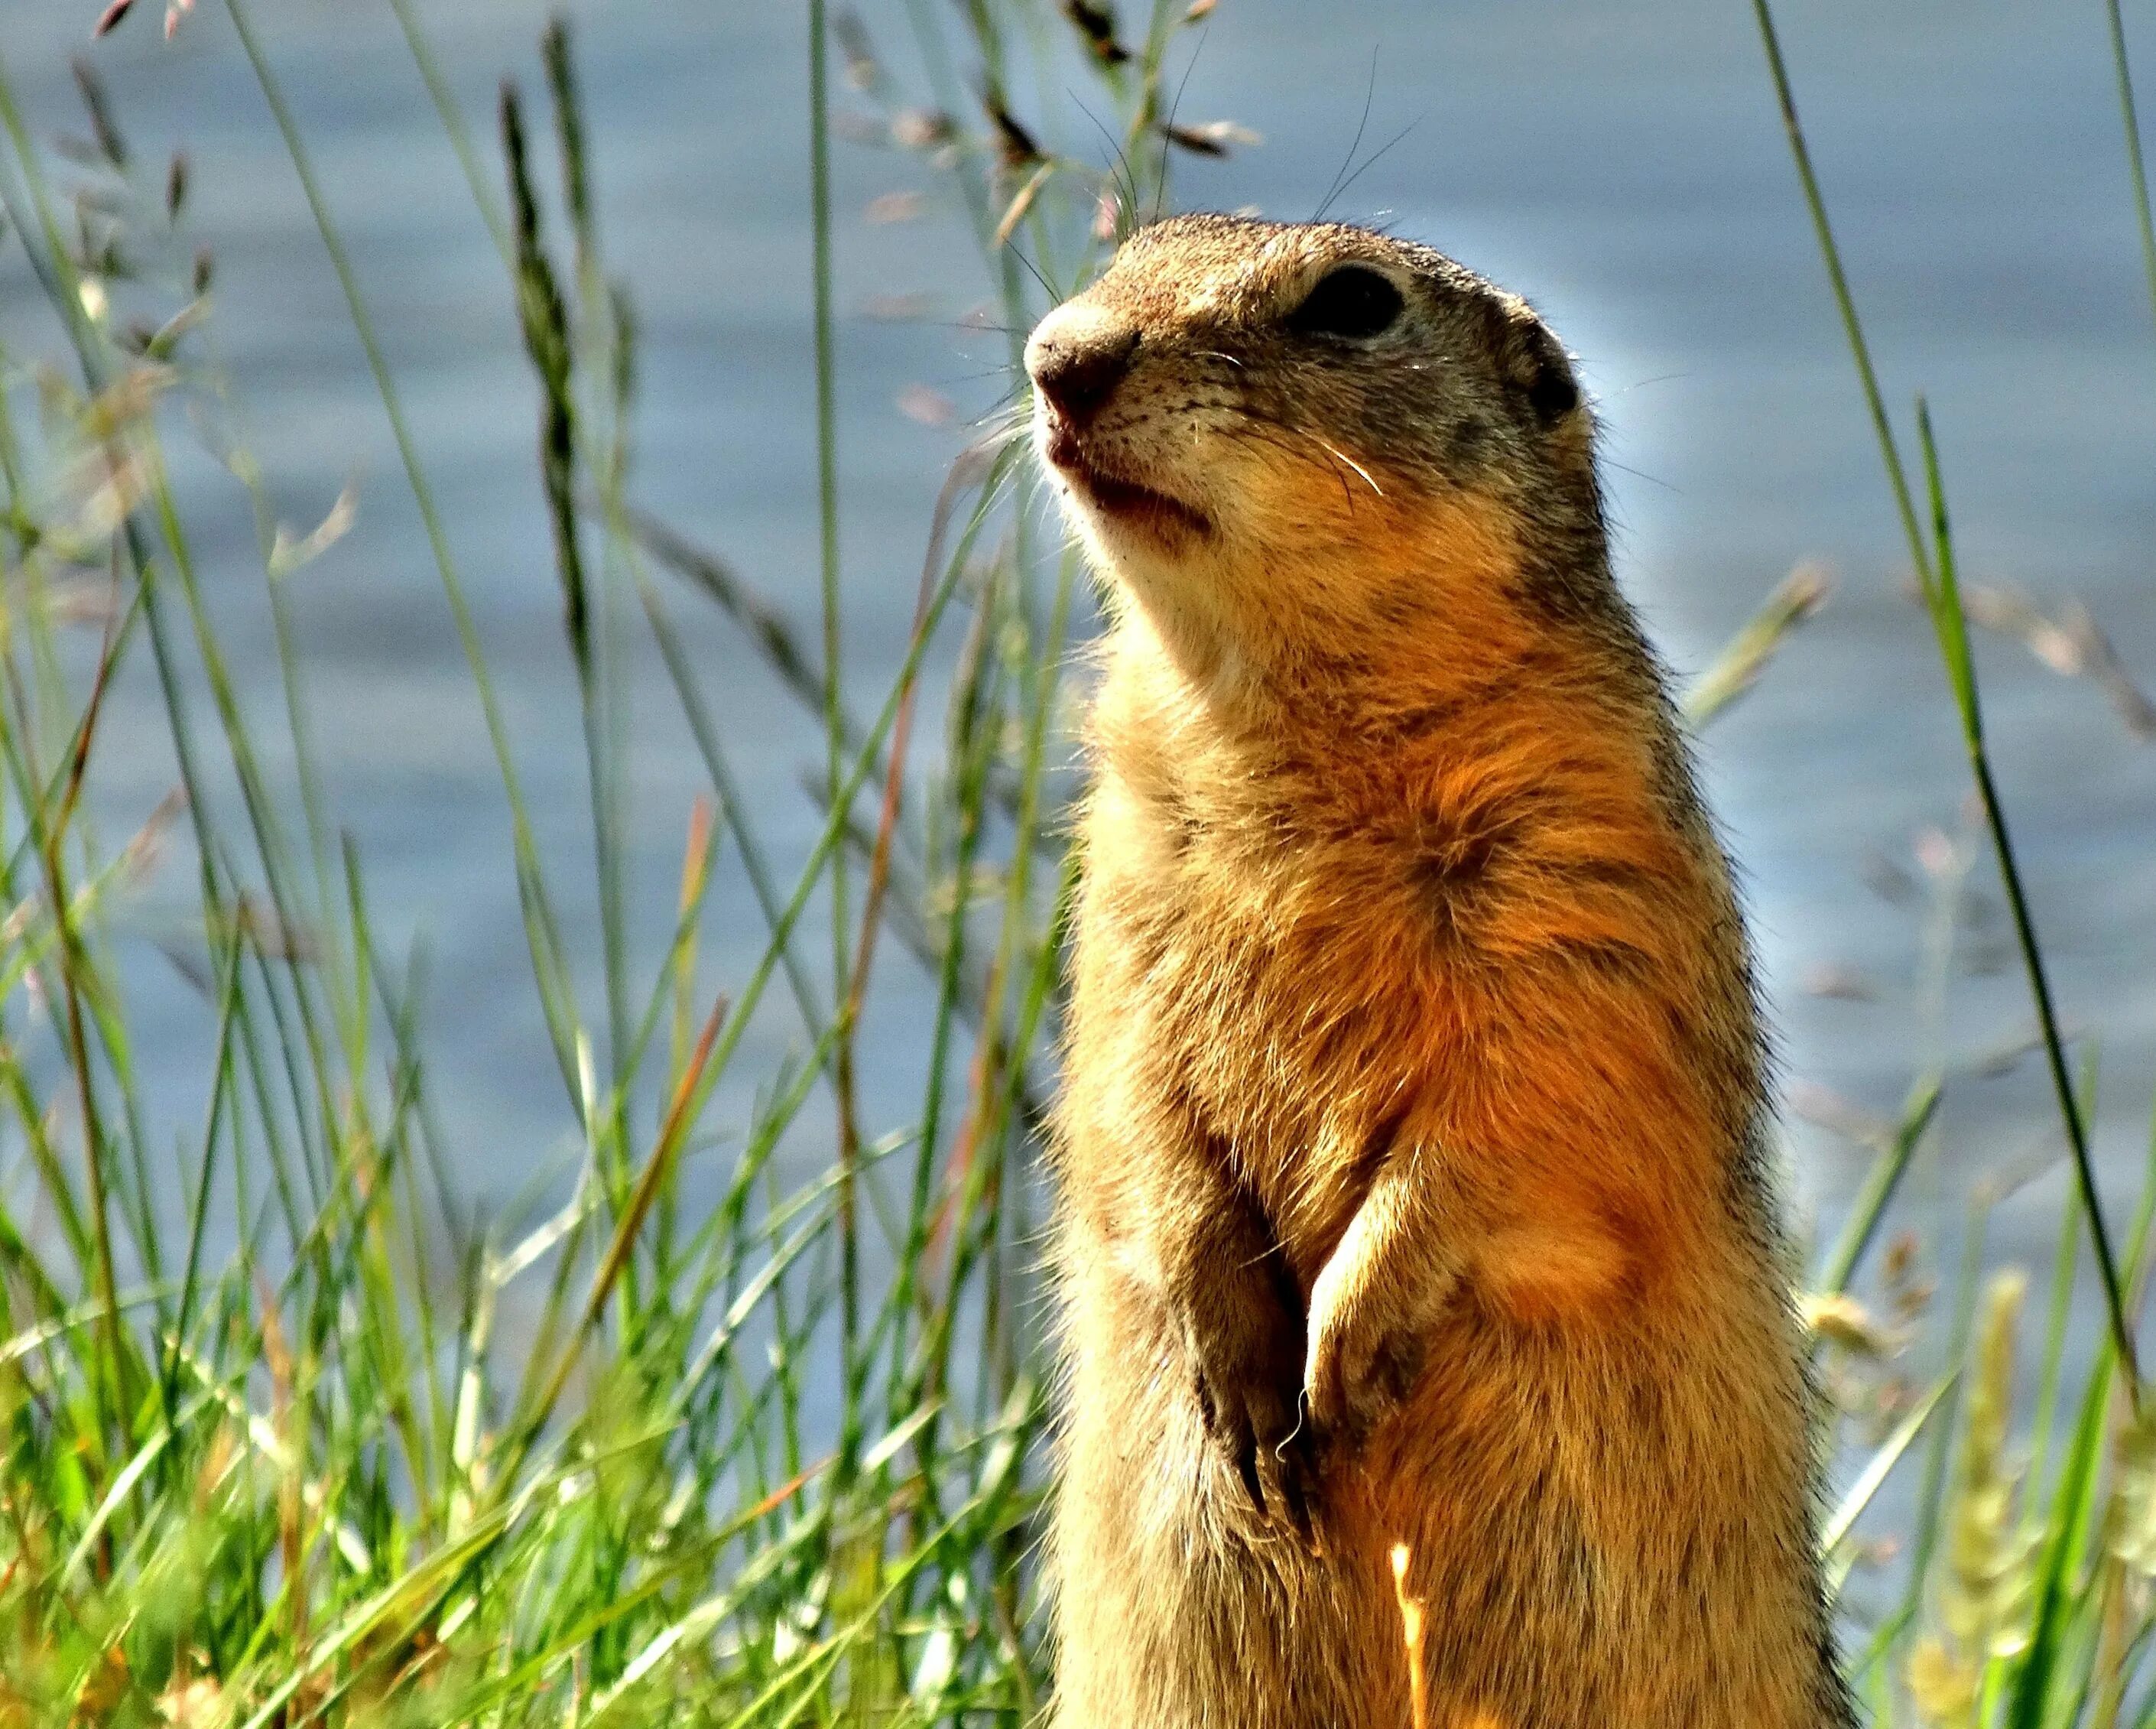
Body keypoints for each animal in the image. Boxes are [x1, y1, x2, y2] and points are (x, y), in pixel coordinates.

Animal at [1026, 219, 1854, 1724]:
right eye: (1133, 245)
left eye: (1354, 302)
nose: (1060, 355)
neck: (1281, 718)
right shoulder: (1117, 901)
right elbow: (1131, 1106)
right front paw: (1244, 1369)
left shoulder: (1591, 881)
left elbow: (1523, 1113)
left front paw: (1345, 1350)